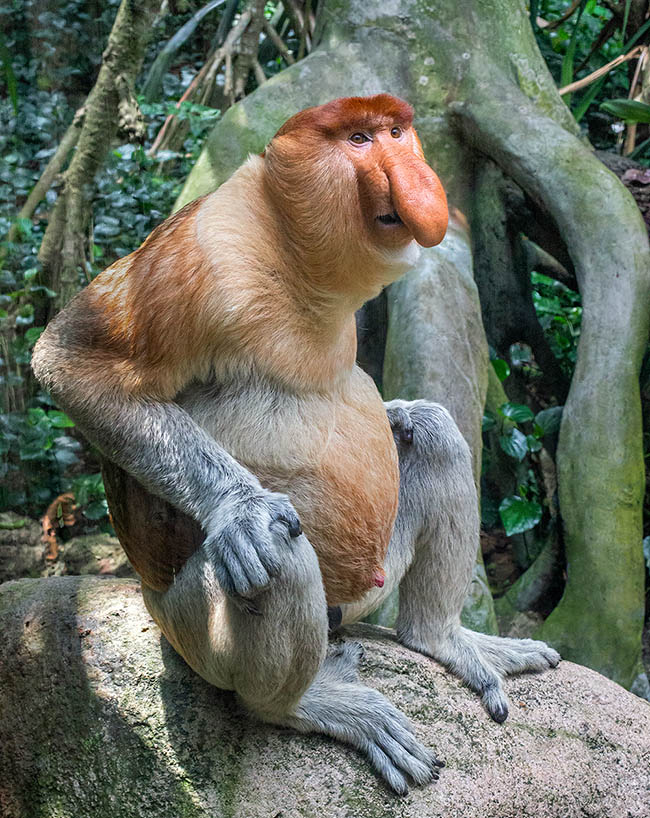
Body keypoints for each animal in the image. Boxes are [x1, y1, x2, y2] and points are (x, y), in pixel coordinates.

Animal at [31, 94, 556, 792]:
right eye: (359, 139)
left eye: (397, 132)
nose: (417, 176)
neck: (295, 257)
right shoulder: (204, 253)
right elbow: (72, 363)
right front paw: (241, 510)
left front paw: (398, 412)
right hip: (190, 630)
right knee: (276, 552)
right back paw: (305, 703)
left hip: (367, 588)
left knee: (439, 435)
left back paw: (441, 636)